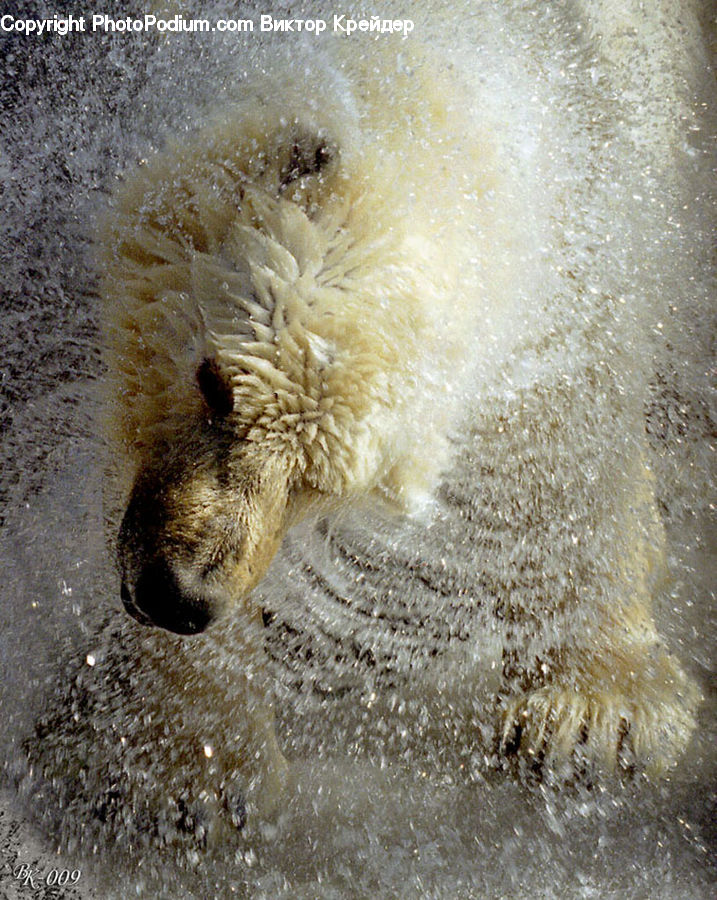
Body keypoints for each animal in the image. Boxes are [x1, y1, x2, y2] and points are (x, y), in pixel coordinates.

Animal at [88, 37, 701, 840]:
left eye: (318, 480)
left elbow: (565, 445)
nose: (180, 595)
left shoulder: (588, 230)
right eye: (215, 383)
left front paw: (591, 717)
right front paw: (190, 771)